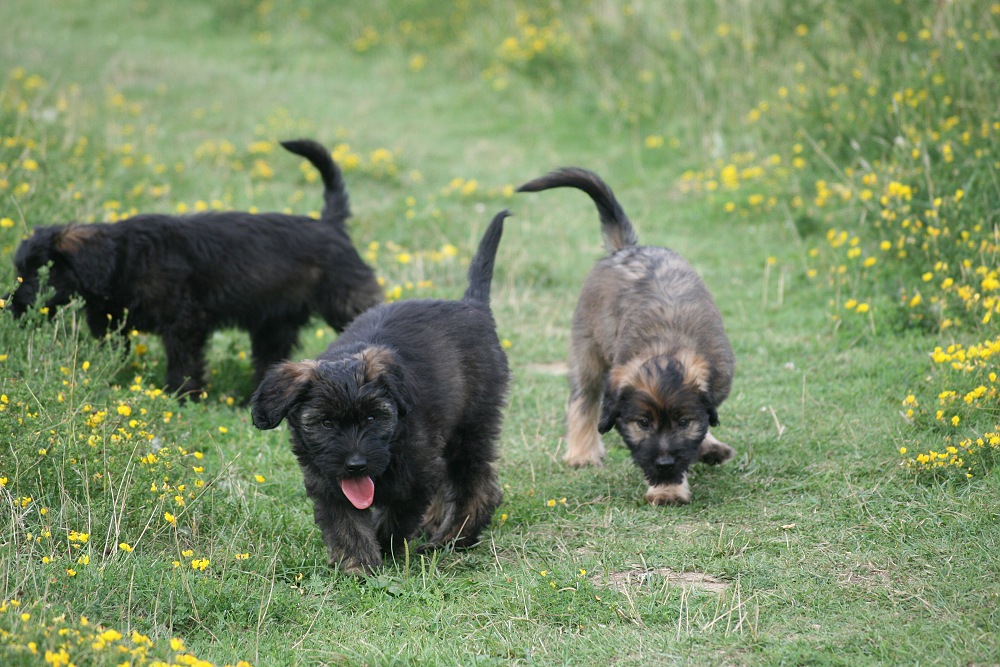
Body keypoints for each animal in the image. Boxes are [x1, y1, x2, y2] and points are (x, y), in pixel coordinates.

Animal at [8, 137, 382, 396]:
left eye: (40, 274)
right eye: (19, 273)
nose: (12, 311)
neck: (123, 259)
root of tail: (331, 225)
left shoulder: (184, 323)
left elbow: (183, 362)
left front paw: (181, 396)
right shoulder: (109, 321)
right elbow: (112, 353)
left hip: (346, 300)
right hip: (274, 324)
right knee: (270, 357)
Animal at [250, 213, 516, 576]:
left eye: (372, 417)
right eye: (326, 423)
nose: (356, 465)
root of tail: (472, 305)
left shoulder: (415, 477)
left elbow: (394, 517)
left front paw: (383, 549)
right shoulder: (328, 482)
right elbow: (346, 524)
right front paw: (358, 567)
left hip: (472, 427)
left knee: (478, 486)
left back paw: (452, 539)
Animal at [516, 168, 736, 506]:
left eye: (683, 421)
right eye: (643, 423)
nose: (664, 465)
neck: (668, 345)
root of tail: (626, 249)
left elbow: (700, 429)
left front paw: (700, 452)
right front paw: (668, 489)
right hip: (588, 351)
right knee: (583, 400)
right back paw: (582, 453)